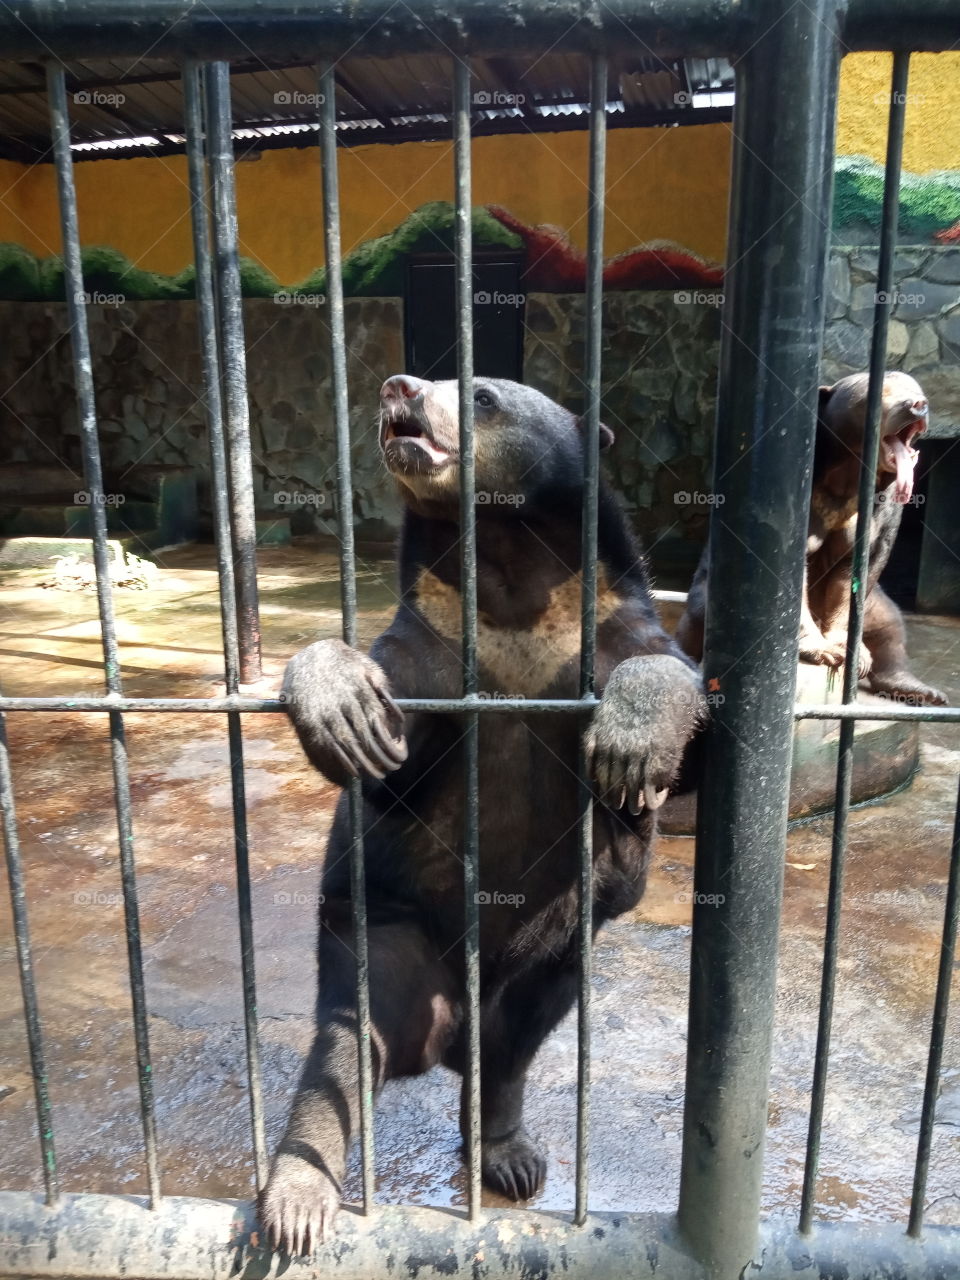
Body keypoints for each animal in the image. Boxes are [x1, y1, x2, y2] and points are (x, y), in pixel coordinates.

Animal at [259, 374, 705, 1254]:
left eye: (483, 395)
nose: (396, 389)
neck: (509, 578)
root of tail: (453, 1029)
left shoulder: (610, 627)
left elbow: (681, 700)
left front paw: (630, 749)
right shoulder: (430, 649)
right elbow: (388, 748)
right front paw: (342, 707)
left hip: (552, 966)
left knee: (509, 1060)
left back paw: (507, 1155)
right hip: (388, 943)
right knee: (343, 1056)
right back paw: (296, 1199)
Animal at [676, 370, 945, 706]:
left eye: (914, 388)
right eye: (879, 393)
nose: (917, 405)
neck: (848, 470)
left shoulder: (885, 507)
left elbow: (857, 571)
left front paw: (848, 651)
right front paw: (822, 650)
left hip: (875, 605)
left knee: (890, 623)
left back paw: (919, 689)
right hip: (705, 594)